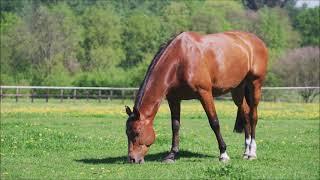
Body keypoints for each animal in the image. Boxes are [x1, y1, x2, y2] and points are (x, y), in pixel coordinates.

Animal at [125, 30, 268, 163]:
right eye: (127, 133)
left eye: (137, 133)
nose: (132, 159)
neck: (180, 59)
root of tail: (256, 41)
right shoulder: (174, 99)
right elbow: (175, 126)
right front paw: (172, 155)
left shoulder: (205, 93)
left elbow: (214, 122)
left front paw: (223, 154)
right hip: (238, 90)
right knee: (245, 115)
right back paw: (246, 152)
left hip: (255, 84)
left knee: (253, 116)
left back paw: (252, 153)